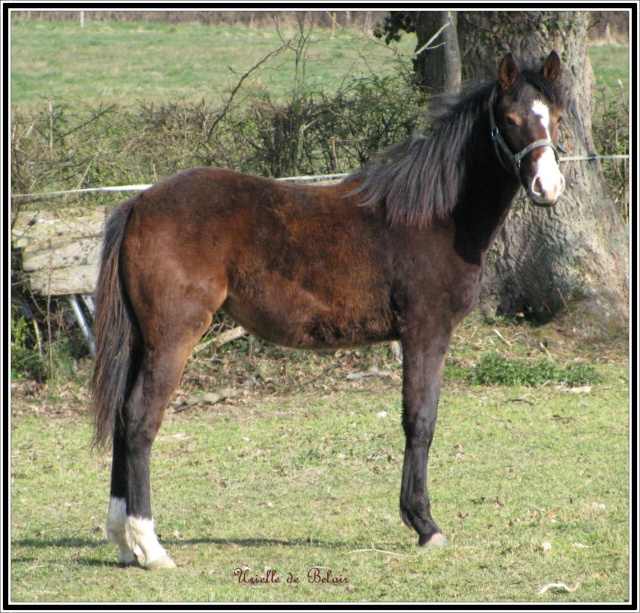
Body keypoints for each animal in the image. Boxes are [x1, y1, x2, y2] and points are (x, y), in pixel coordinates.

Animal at [91, 50, 564, 568]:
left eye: (557, 117)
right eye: (510, 119)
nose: (547, 187)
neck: (435, 217)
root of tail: (139, 203)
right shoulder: (426, 332)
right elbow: (420, 421)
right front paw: (424, 525)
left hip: (143, 340)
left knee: (121, 419)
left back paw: (122, 541)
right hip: (174, 336)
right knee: (140, 420)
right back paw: (150, 545)